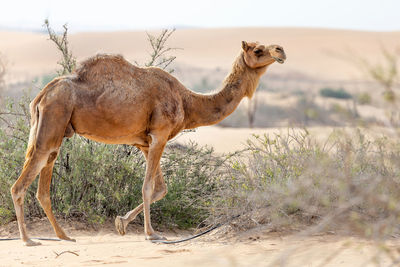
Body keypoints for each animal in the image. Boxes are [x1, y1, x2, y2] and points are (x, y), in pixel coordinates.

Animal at [9, 40, 284, 247]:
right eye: (257, 50)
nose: (280, 50)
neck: (188, 101)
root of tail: (41, 95)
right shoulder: (160, 135)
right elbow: (148, 187)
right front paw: (151, 234)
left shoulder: (144, 143)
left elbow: (160, 188)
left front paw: (121, 223)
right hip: (53, 121)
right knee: (20, 184)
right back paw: (28, 239)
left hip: (57, 131)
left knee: (43, 186)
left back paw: (63, 236)